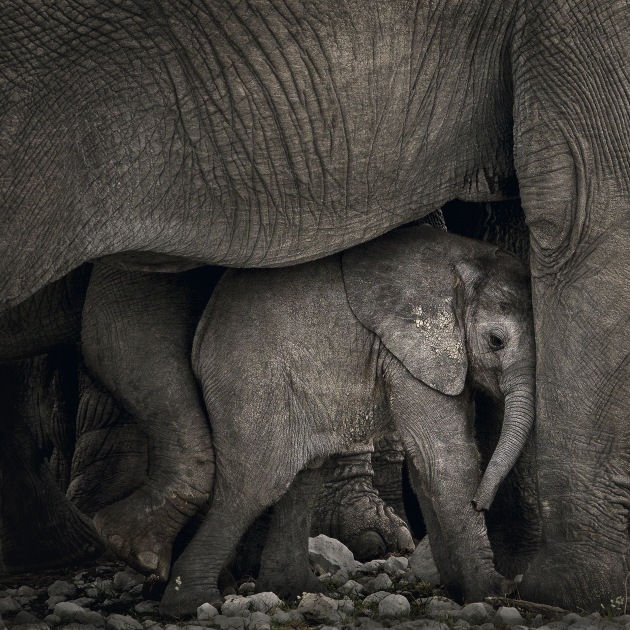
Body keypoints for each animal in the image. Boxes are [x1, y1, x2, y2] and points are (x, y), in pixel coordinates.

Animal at [160, 227, 536, 616]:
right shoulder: (412, 352)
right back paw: (191, 602)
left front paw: (461, 590)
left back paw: (292, 589)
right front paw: (491, 593)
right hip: (251, 380)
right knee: (257, 481)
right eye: (496, 341)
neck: (466, 264)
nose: (481, 503)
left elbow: (426, 466)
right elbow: (445, 460)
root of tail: (201, 337)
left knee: (306, 472)